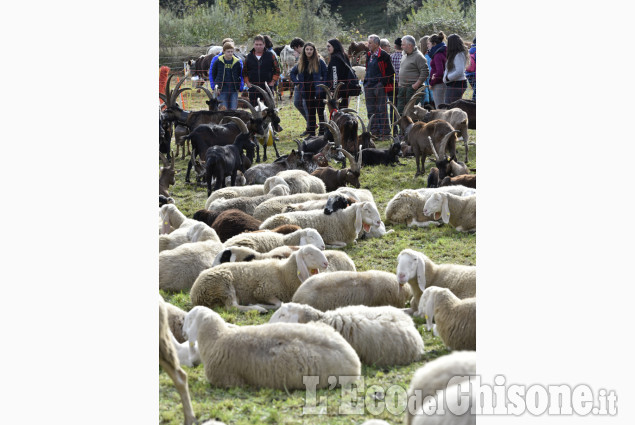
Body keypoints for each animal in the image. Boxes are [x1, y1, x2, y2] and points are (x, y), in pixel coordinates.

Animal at [191, 242, 330, 312]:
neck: (283, 272)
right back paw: (258, 308)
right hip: (223, 284)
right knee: (232, 306)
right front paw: (261, 305)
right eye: (309, 253)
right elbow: (279, 304)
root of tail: (194, 292)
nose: (326, 263)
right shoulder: (262, 291)